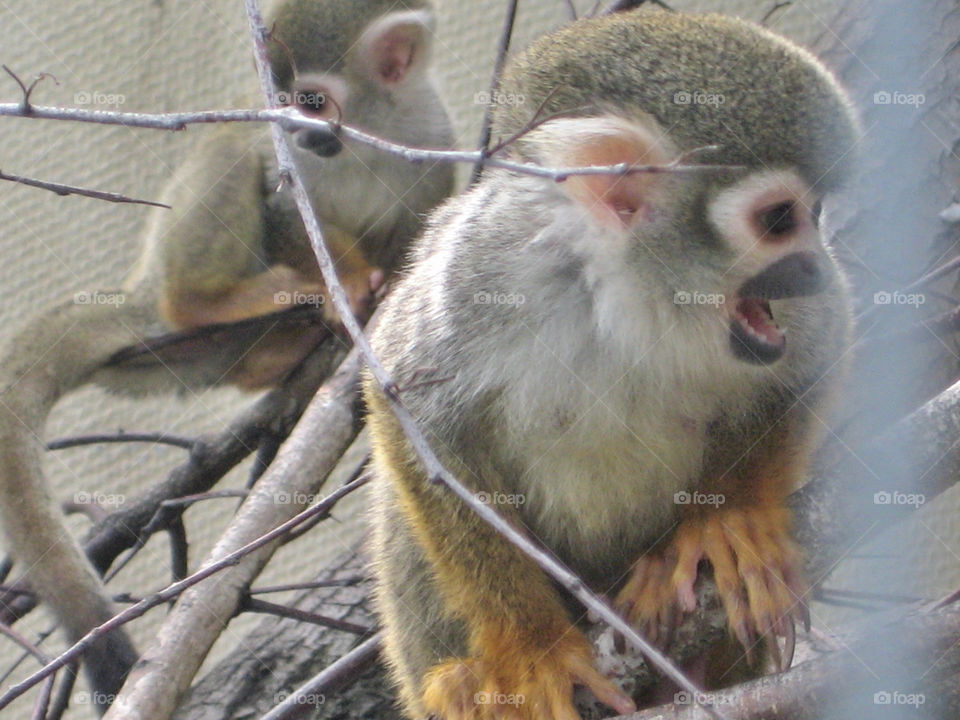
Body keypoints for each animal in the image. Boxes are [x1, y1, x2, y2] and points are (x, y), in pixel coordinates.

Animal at [0, 0, 453, 709]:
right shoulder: (292, 164)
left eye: (312, 101)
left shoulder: (431, 137)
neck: (370, 134)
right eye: (281, 102)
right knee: (232, 151)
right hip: (169, 279)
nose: (295, 131)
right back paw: (209, 301)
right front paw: (346, 287)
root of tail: (141, 295)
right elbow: (282, 205)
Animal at [364, 9, 858, 720]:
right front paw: (532, 646)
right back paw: (461, 682)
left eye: (813, 214)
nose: (817, 266)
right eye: (778, 220)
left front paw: (731, 518)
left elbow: (817, 353)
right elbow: (413, 412)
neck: (639, 289)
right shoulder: (485, 271)